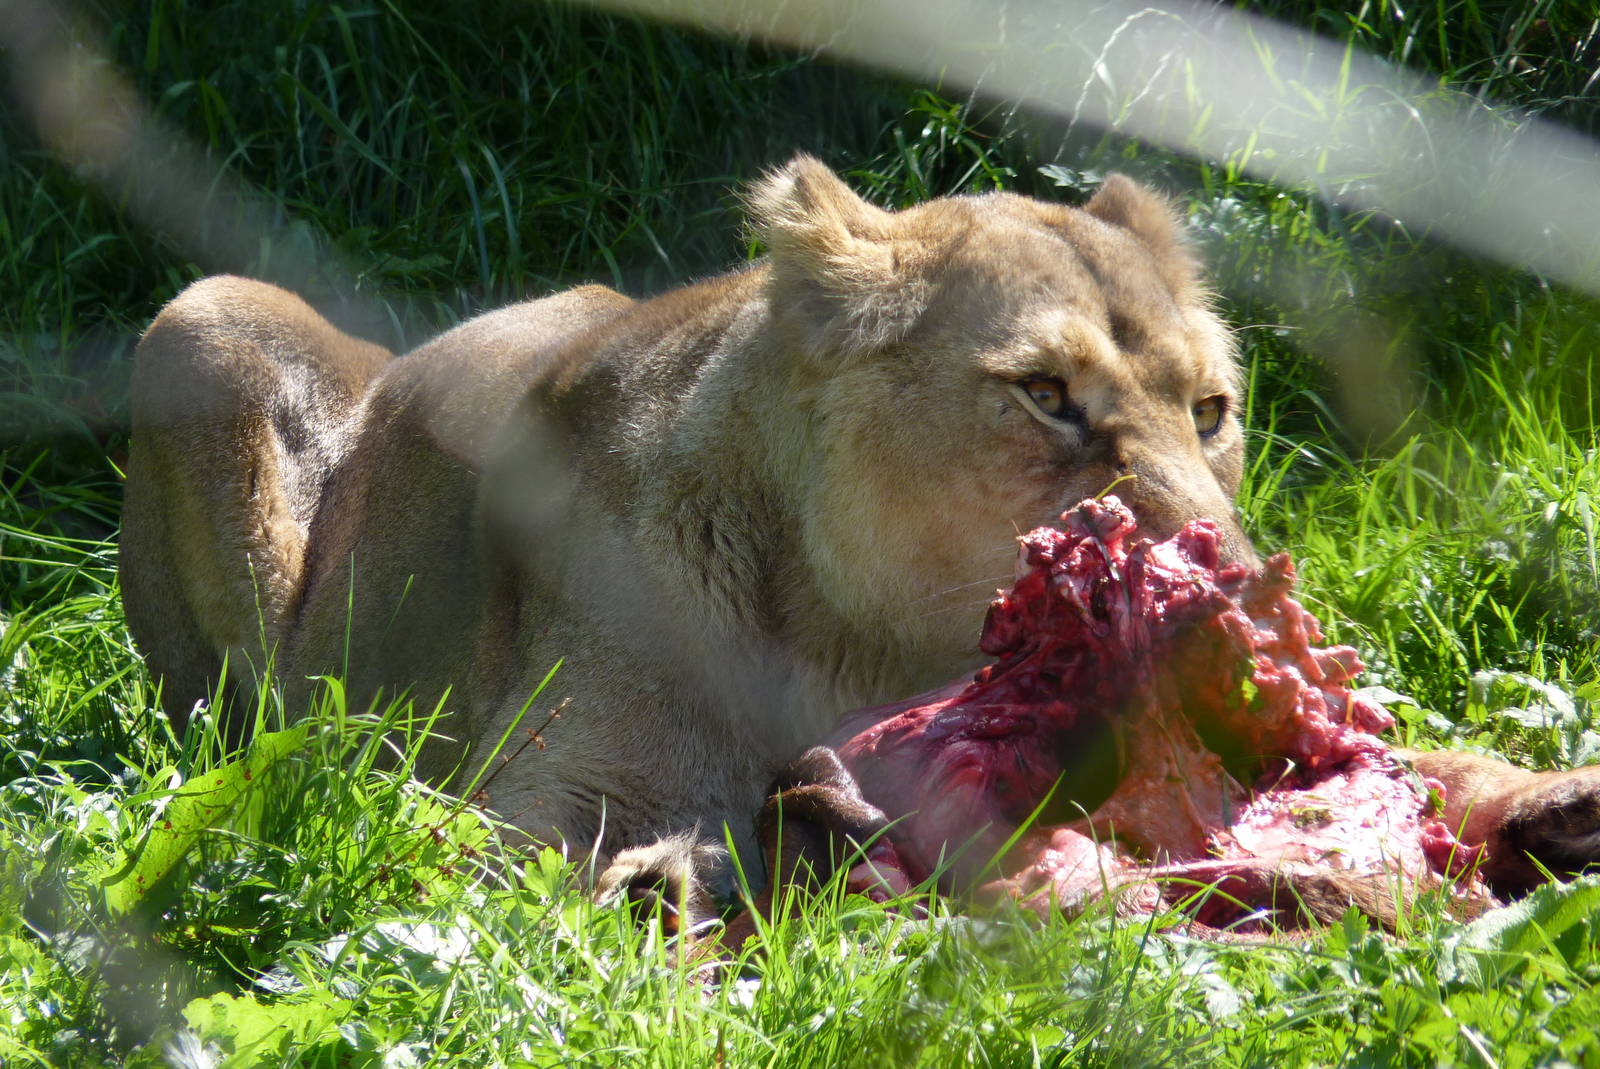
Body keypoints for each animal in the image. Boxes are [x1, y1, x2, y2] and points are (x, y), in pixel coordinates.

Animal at [120, 155, 1600, 921]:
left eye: (1212, 411)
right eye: (1046, 394)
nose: (1232, 587)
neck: (869, 645)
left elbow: (1419, 761)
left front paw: (1552, 805)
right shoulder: (527, 811)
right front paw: (736, 859)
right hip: (202, 316)